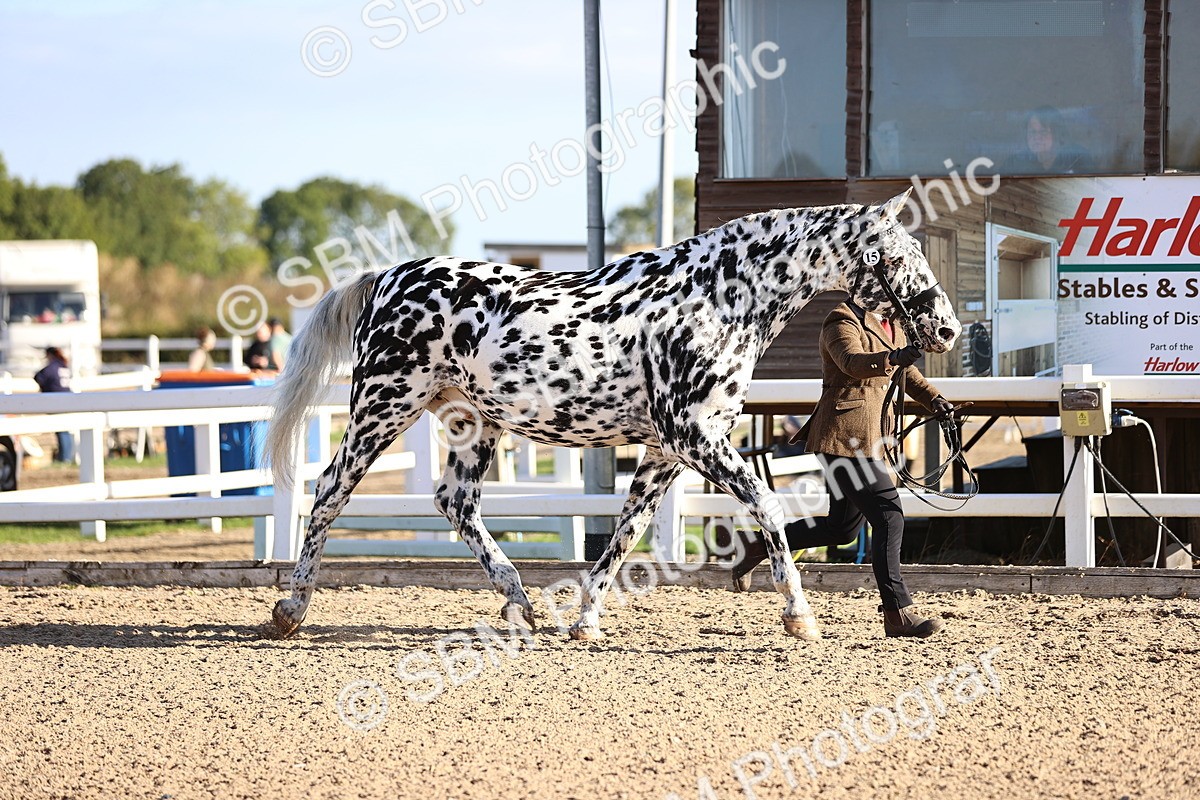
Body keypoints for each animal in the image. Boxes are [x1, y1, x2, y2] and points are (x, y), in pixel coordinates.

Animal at [265, 188, 962, 641]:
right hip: (385, 405)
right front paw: (799, 617)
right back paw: (291, 610)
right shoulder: (696, 436)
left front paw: (584, 620)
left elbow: (627, 532)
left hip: (472, 422)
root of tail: (387, 278)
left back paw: (522, 606)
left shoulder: (665, 451)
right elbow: (767, 505)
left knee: (455, 502)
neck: (719, 300)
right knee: (329, 491)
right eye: (898, 255)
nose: (947, 329)